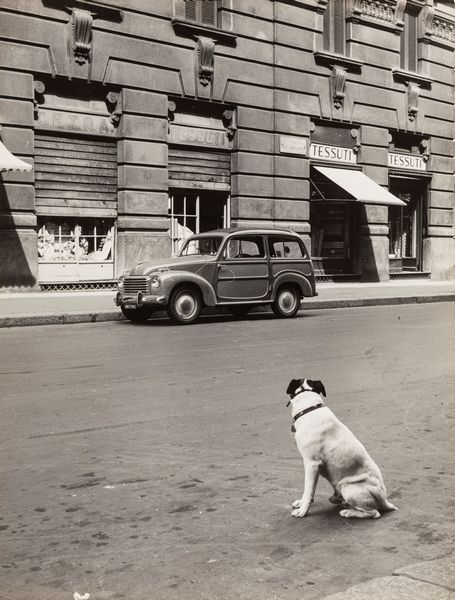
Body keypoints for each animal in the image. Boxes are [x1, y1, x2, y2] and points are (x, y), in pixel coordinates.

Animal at [286, 378, 398, 516]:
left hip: (349, 488)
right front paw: (301, 503)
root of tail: (384, 500)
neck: (310, 408)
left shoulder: (312, 464)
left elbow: (308, 490)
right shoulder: (308, 463)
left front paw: (302, 511)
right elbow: (307, 489)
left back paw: (348, 512)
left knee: (373, 513)